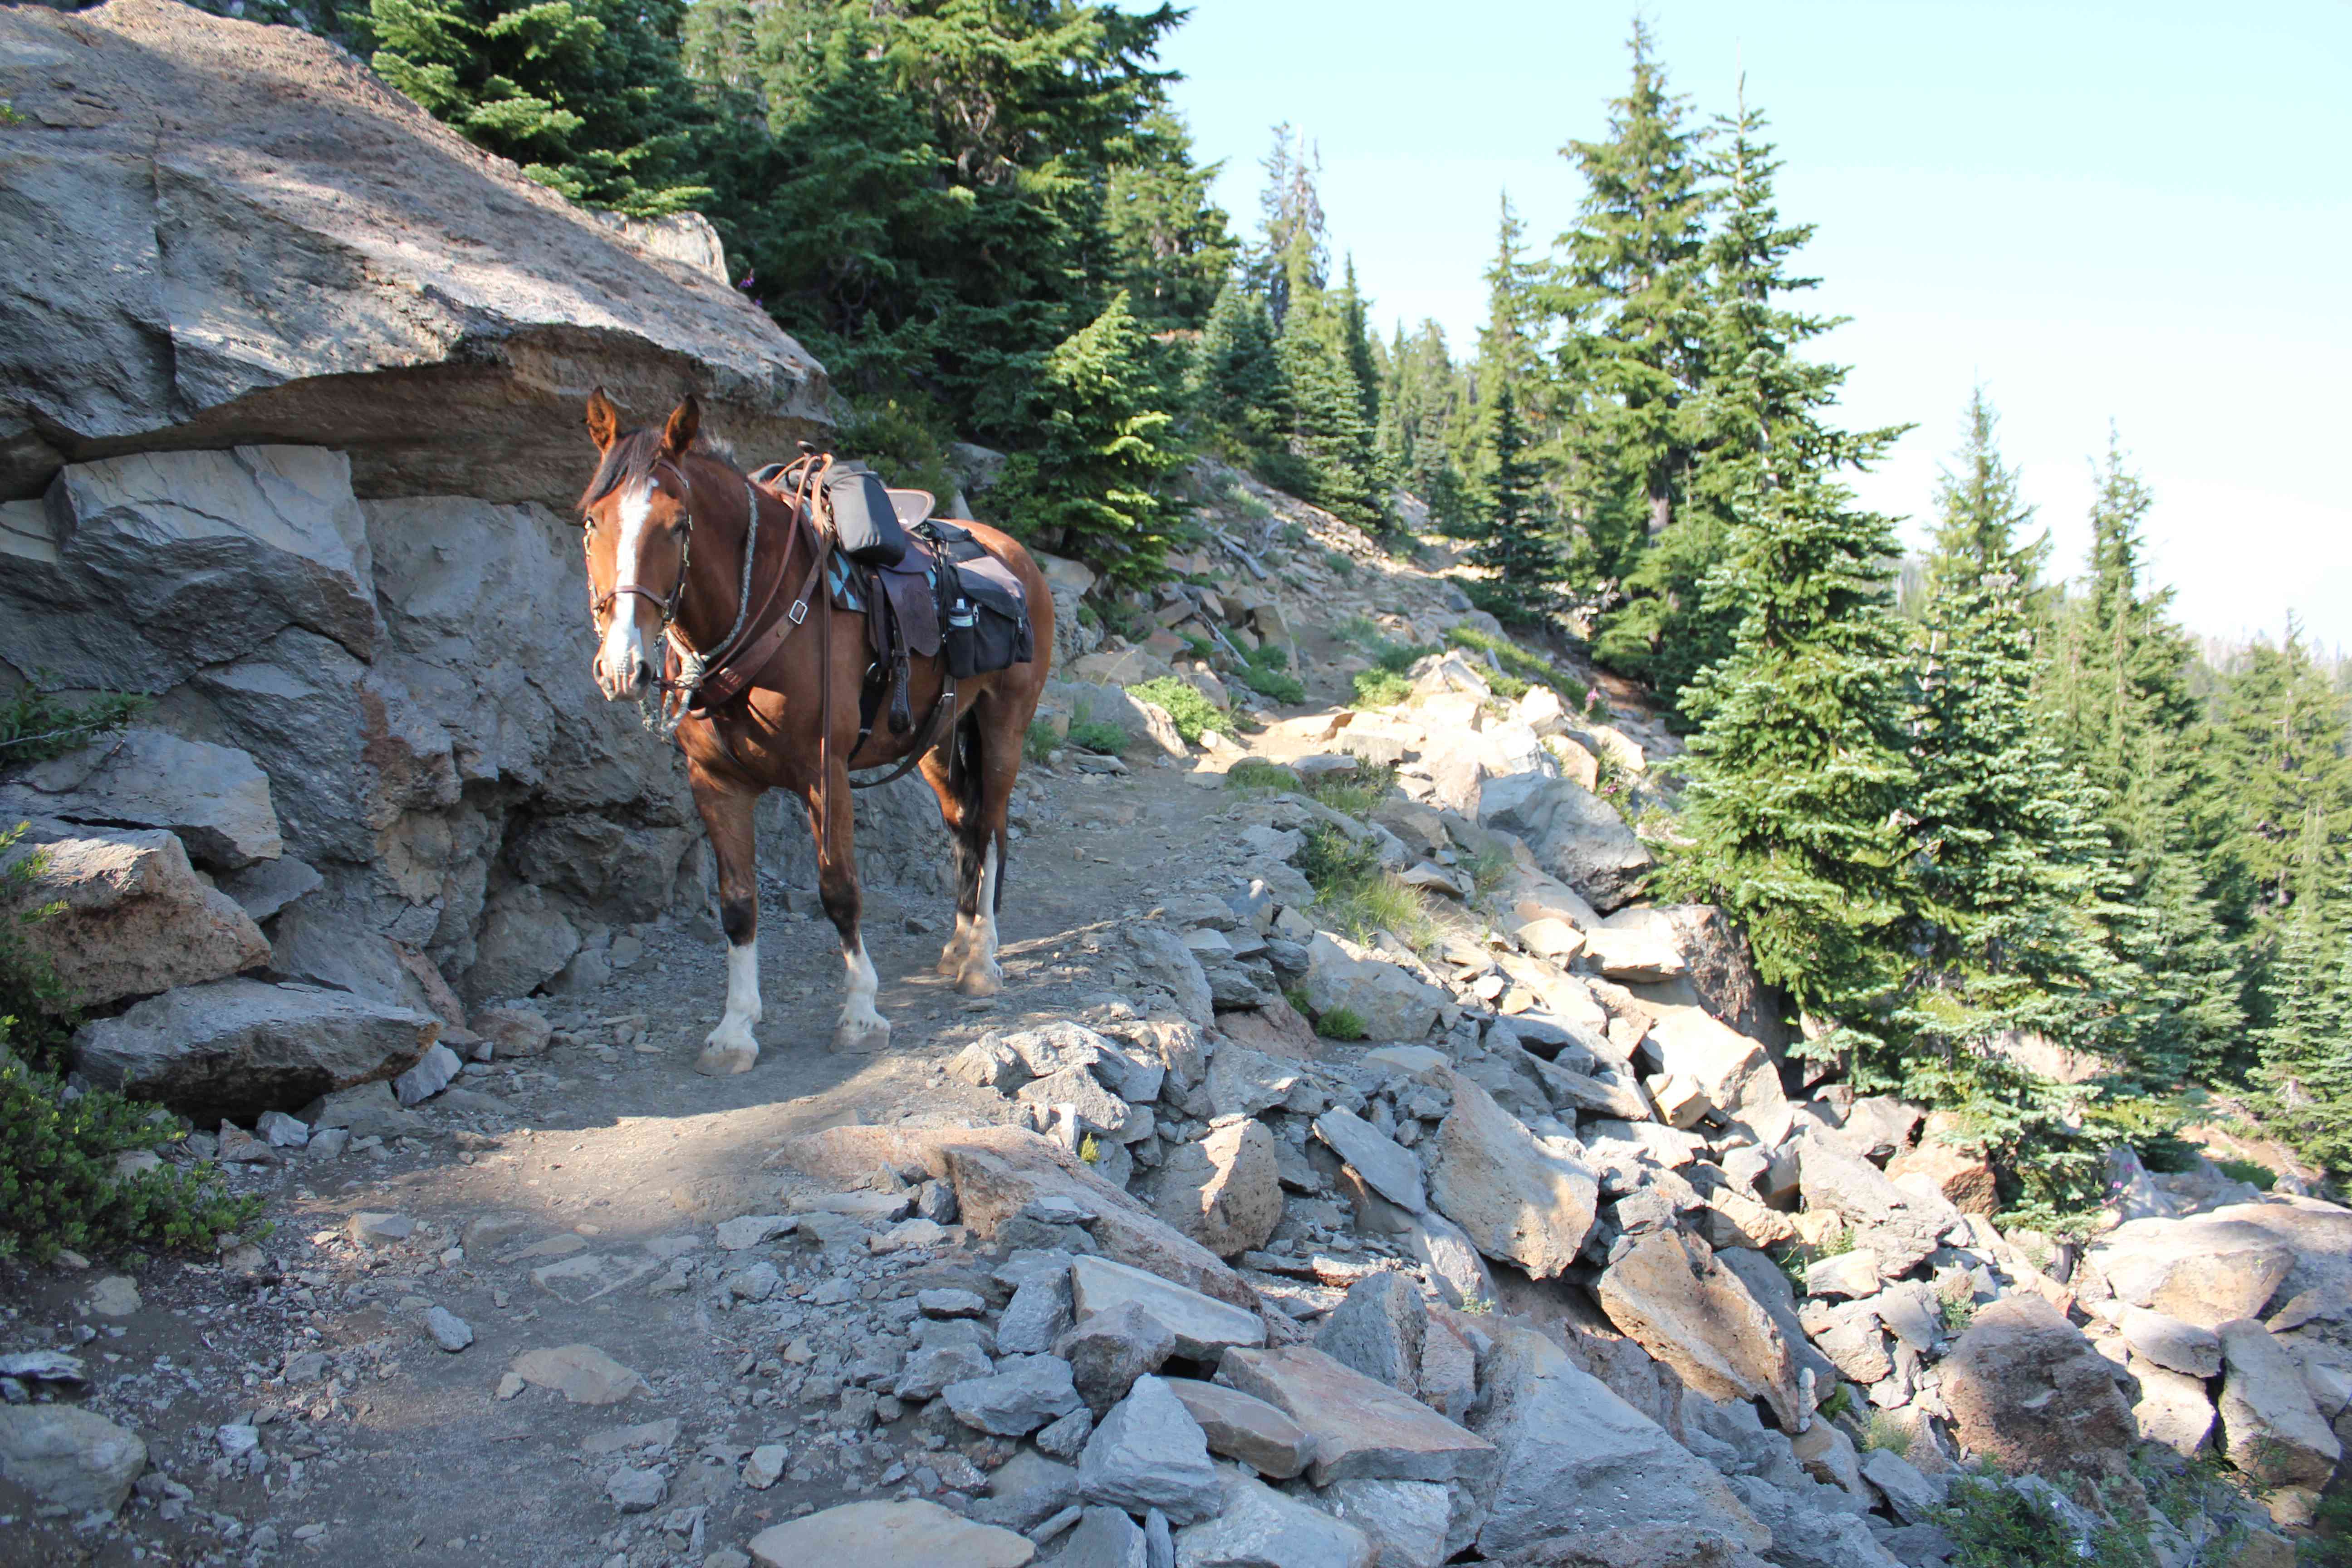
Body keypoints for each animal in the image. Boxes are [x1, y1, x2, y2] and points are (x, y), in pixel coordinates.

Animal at [573, 392, 1054, 1081]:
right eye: (591, 521)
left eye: (679, 524)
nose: (623, 667)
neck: (762, 619)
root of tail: (1014, 557)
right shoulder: (716, 785)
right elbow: (737, 904)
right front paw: (734, 1030)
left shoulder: (825, 776)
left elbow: (840, 891)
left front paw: (860, 1015)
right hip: (938, 742)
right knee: (965, 828)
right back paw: (958, 947)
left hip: (1004, 727)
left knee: (989, 830)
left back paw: (982, 963)